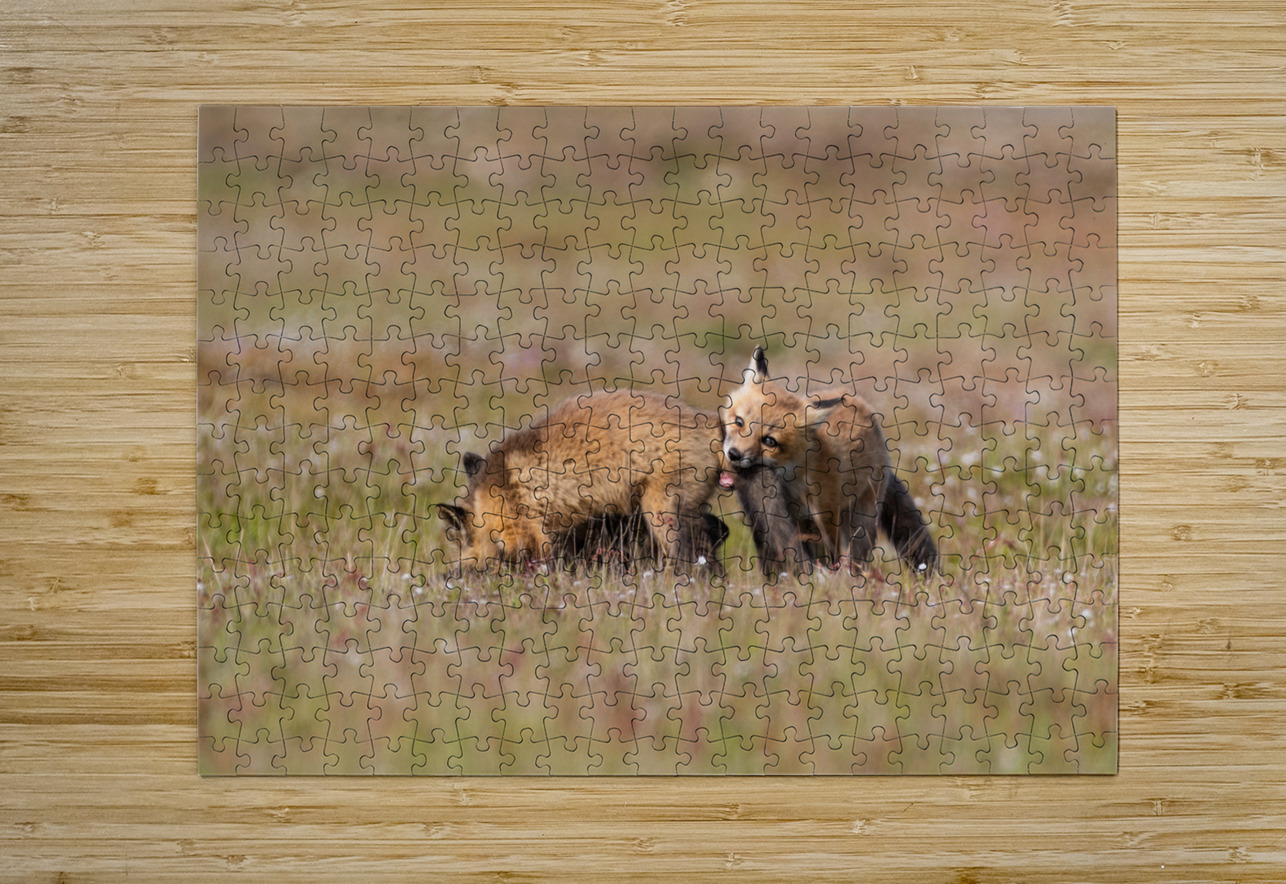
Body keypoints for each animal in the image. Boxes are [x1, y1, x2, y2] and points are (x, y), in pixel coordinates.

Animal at [435, 390, 725, 574]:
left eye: (462, 542)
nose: (453, 574)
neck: (498, 496)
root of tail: (705, 419)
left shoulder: (536, 535)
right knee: (716, 533)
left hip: (662, 512)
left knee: (693, 556)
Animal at [719, 347, 938, 575]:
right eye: (739, 422)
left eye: (769, 441)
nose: (734, 454)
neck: (792, 482)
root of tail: (859, 402)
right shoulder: (798, 521)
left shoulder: (826, 516)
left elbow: (829, 556)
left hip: (862, 516)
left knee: (858, 554)